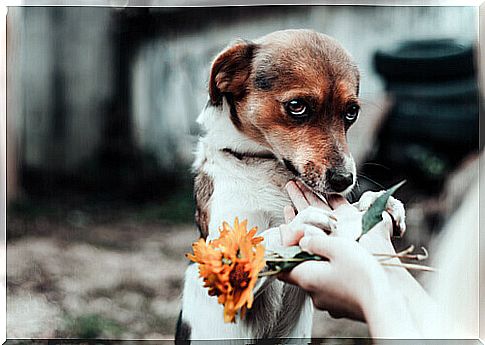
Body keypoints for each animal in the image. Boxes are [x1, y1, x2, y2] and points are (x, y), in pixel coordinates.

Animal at [177, 30, 404, 342]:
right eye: (297, 107)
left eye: (351, 112)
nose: (344, 180)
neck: (267, 169)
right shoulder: (221, 273)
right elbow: (261, 241)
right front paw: (299, 223)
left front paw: (377, 202)